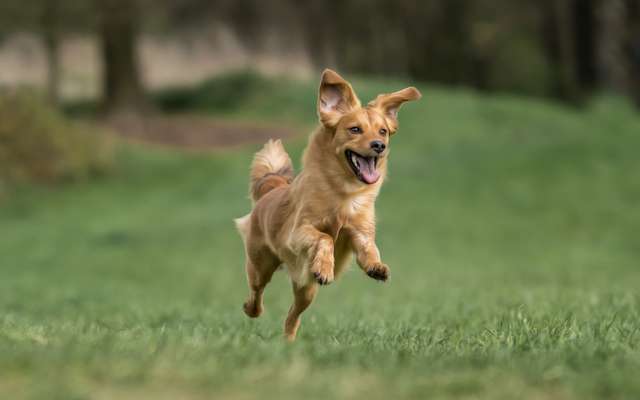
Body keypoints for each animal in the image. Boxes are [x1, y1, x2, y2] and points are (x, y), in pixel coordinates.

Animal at [235, 69, 420, 340]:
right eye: (355, 129)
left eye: (383, 131)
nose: (379, 146)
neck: (344, 193)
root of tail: (273, 188)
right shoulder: (298, 232)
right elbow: (325, 237)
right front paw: (324, 266)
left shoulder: (360, 232)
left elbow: (368, 248)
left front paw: (376, 266)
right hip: (260, 265)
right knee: (256, 292)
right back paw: (251, 309)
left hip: (306, 290)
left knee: (292, 316)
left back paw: (288, 341)